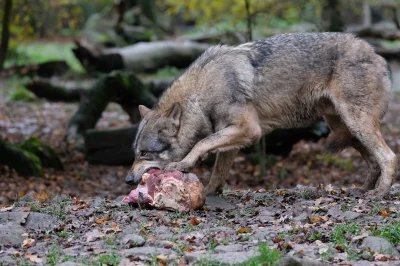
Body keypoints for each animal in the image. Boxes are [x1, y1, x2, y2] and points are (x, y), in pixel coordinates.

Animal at [125, 32, 396, 198]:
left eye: (144, 153)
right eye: (135, 153)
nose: (128, 180)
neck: (201, 94)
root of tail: (377, 55)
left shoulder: (248, 130)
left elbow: (202, 143)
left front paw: (183, 164)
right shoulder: (232, 136)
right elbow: (218, 169)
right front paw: (209, 193)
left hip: (355, 122)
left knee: (389, 157)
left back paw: (379, 193)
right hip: (344, 130)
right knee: (374, 161)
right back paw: (363, 189)